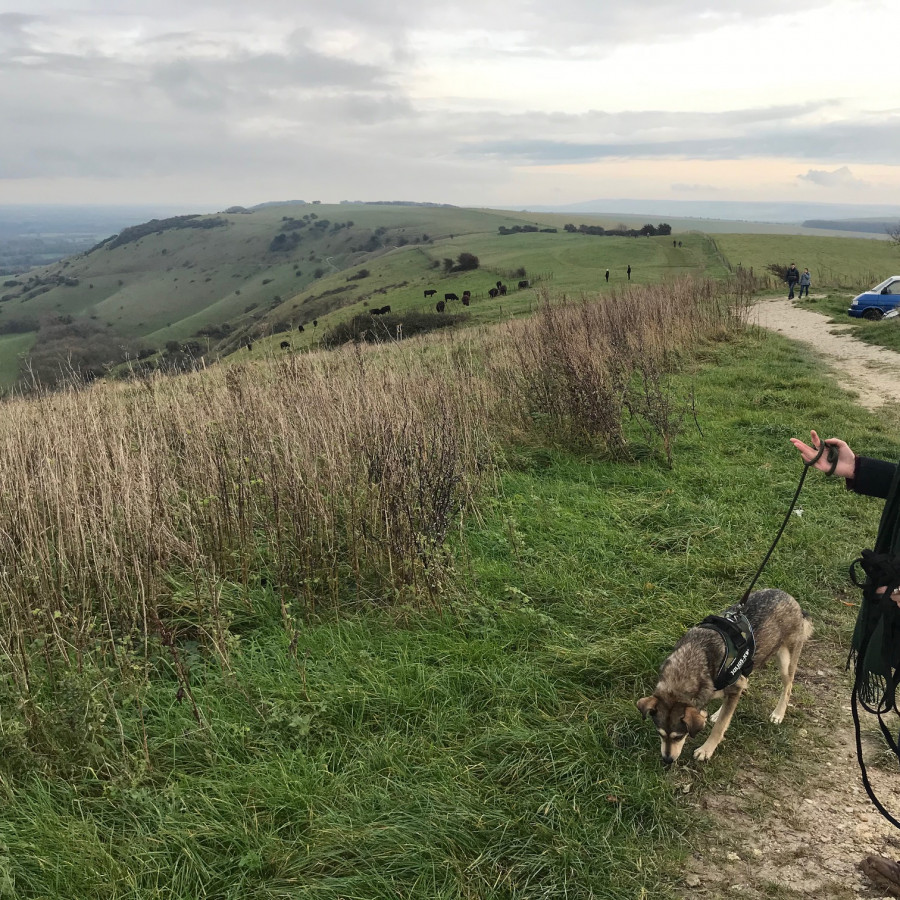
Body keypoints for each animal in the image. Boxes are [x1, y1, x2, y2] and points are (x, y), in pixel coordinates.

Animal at [636, 592, 812, 768]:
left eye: (678, 736)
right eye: (660, 733)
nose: (667, 760)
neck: (694, 659)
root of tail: (791, 600)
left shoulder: (732, 688)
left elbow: (720, 727)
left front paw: (706, 750)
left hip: (785, 662)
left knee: (788, 687)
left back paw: (778, 714)